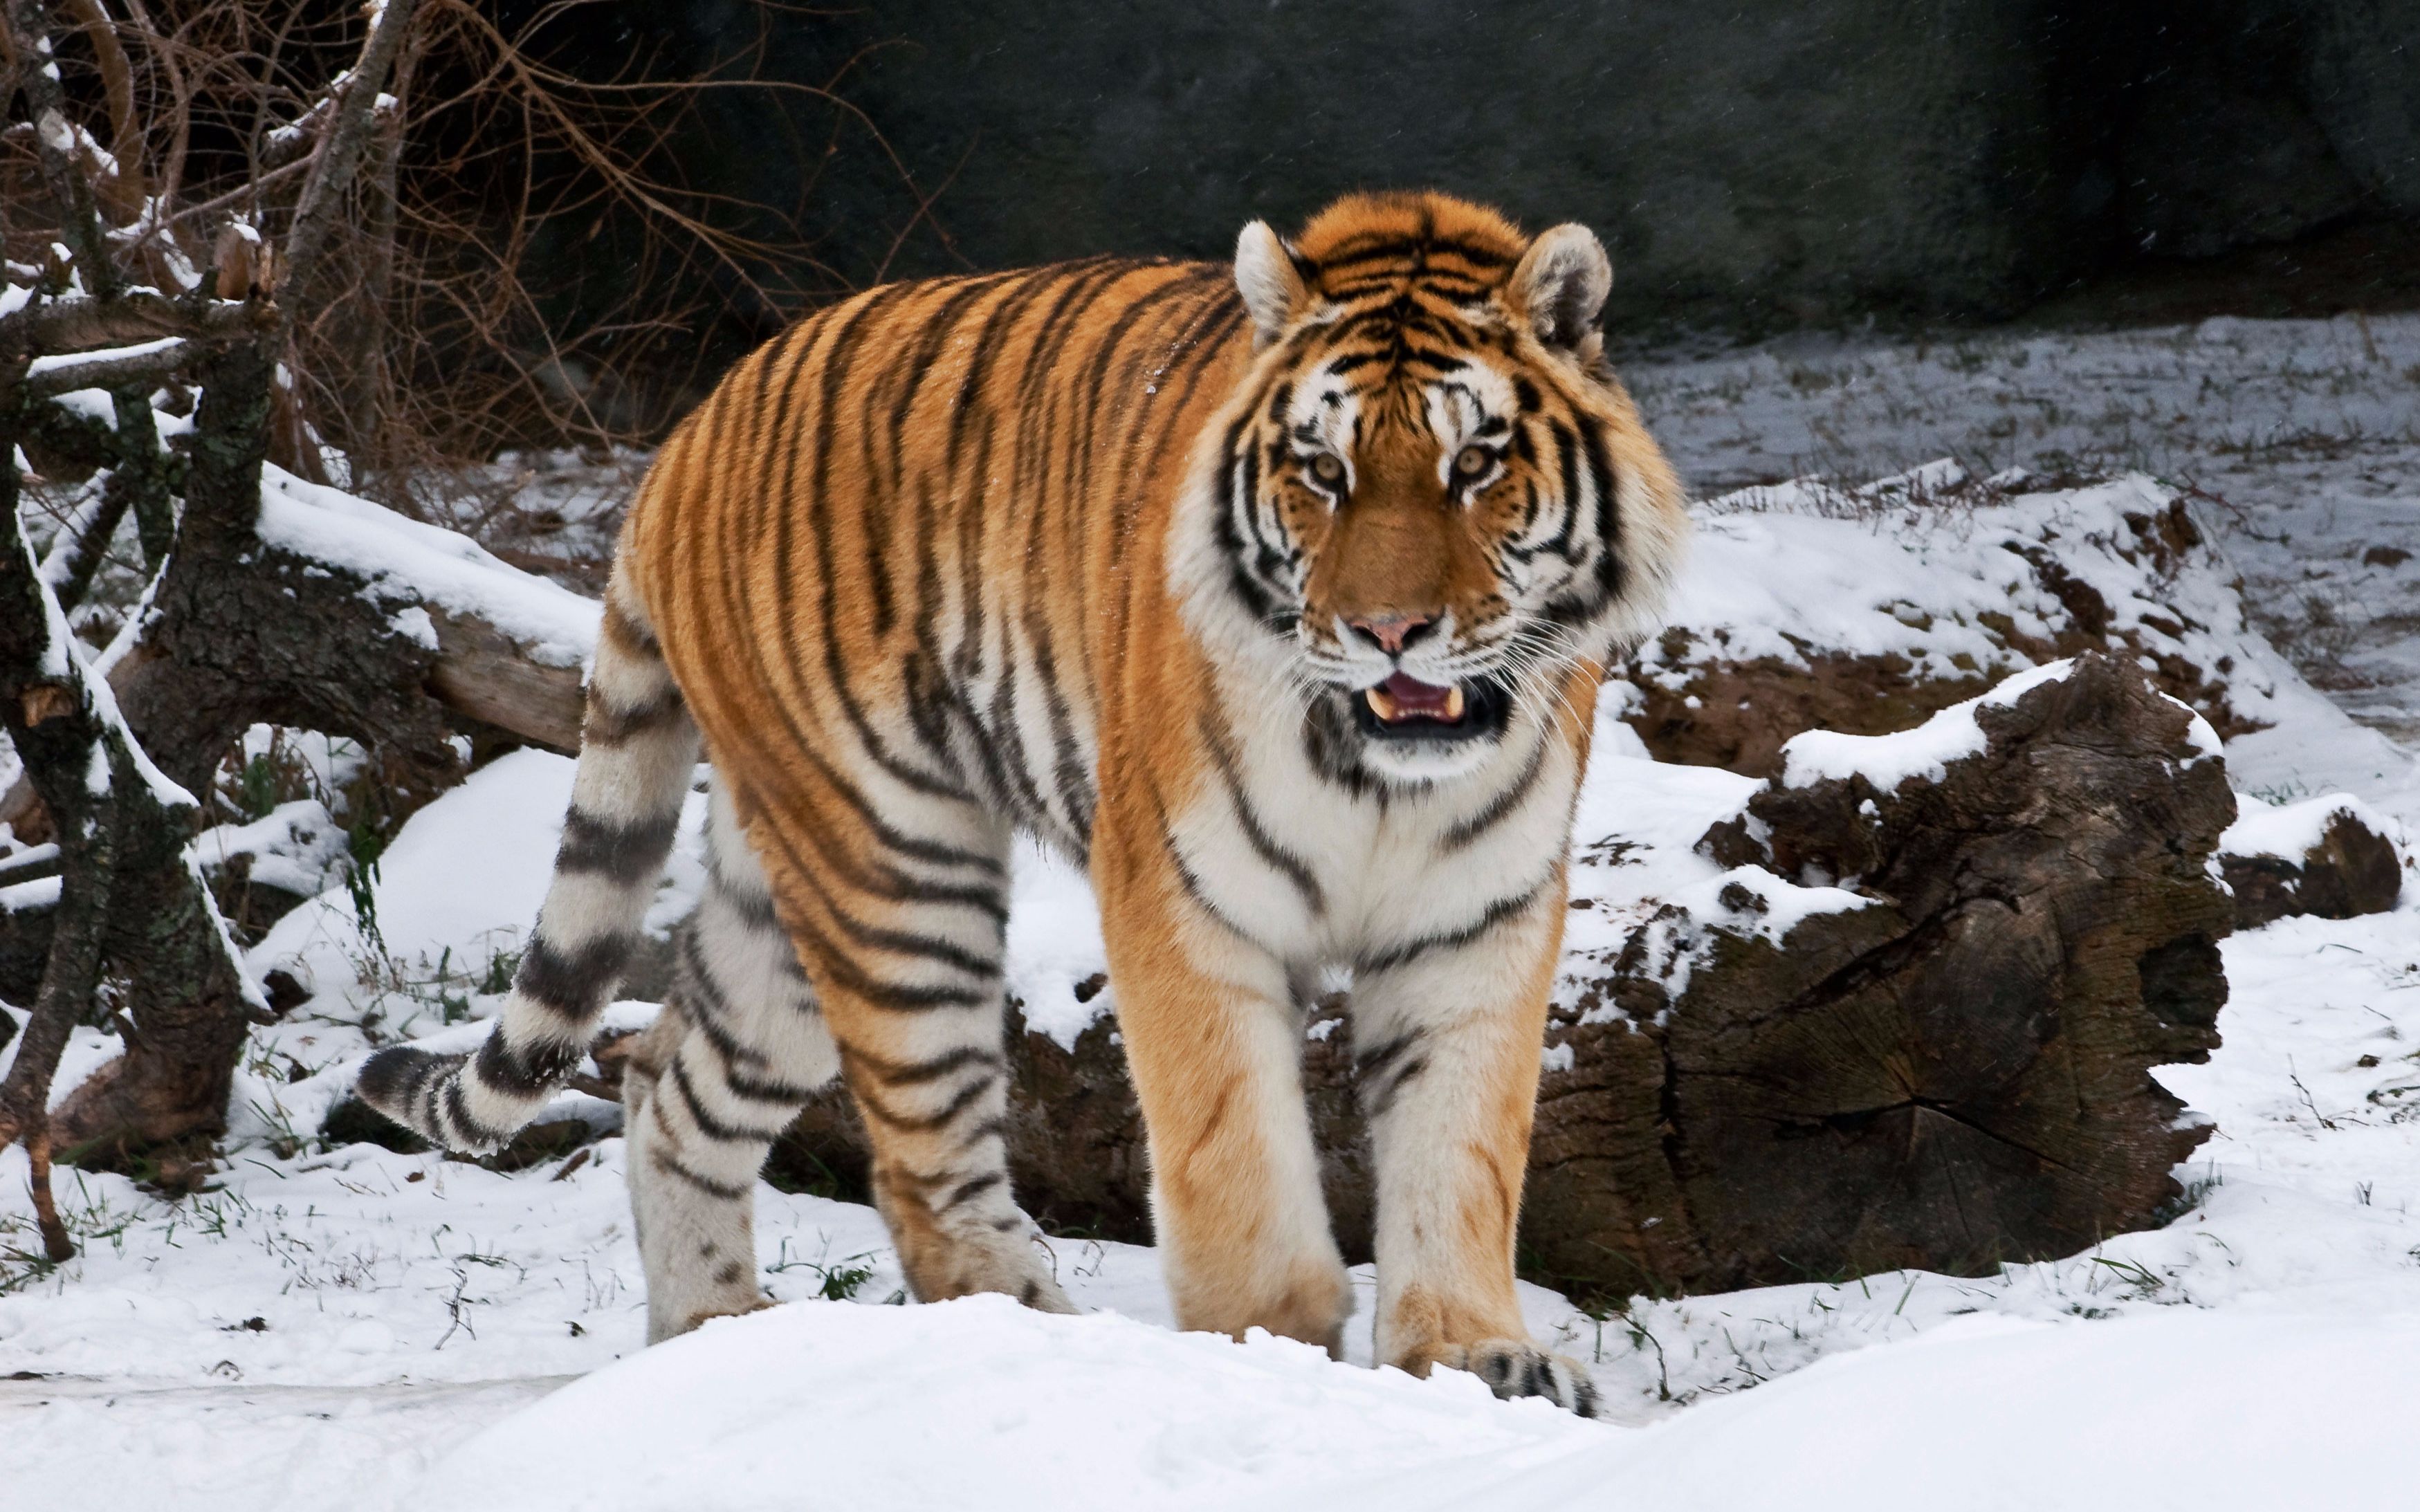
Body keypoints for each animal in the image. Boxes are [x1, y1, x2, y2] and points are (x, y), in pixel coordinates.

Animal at [358, 191, 1684, 1412]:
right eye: (1323, 471)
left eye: (1475, 465)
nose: (1388, 632)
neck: (1381, 774)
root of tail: (687, 435)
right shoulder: (1180, 902)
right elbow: (1231, 1158)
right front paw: (1265, 1352)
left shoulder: (1475, 922)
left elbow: (1461, 1154)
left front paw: (1472, 1358)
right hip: (891, 866)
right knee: (918, 1165)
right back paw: (1043, 1348)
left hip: (778, 900)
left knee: (668, 1083)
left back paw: (710, 1344)